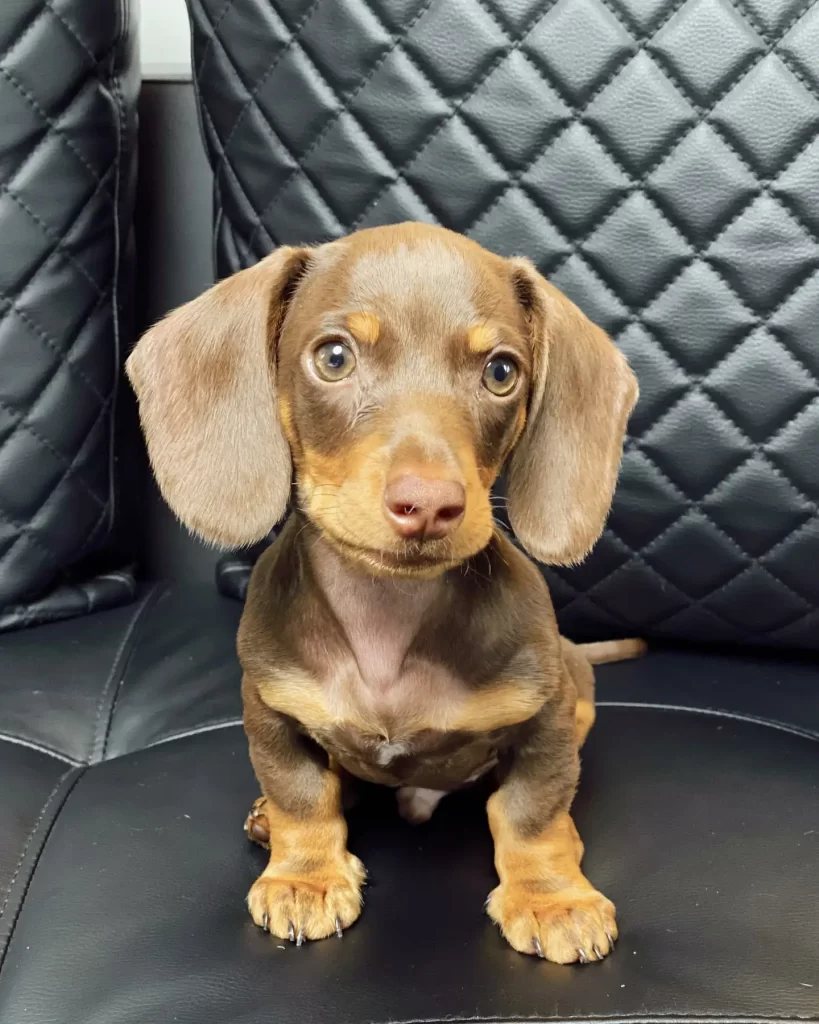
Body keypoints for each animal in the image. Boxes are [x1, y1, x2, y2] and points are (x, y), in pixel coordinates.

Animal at [126, 222, 638, 958]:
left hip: (576, 690)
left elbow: (531, 812)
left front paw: (550, 896)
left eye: (501, 372)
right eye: (334, 357)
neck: (386, 619)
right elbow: (300, 794)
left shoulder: (543, 719)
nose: (428, 505)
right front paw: (305, 877)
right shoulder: (268, 707)